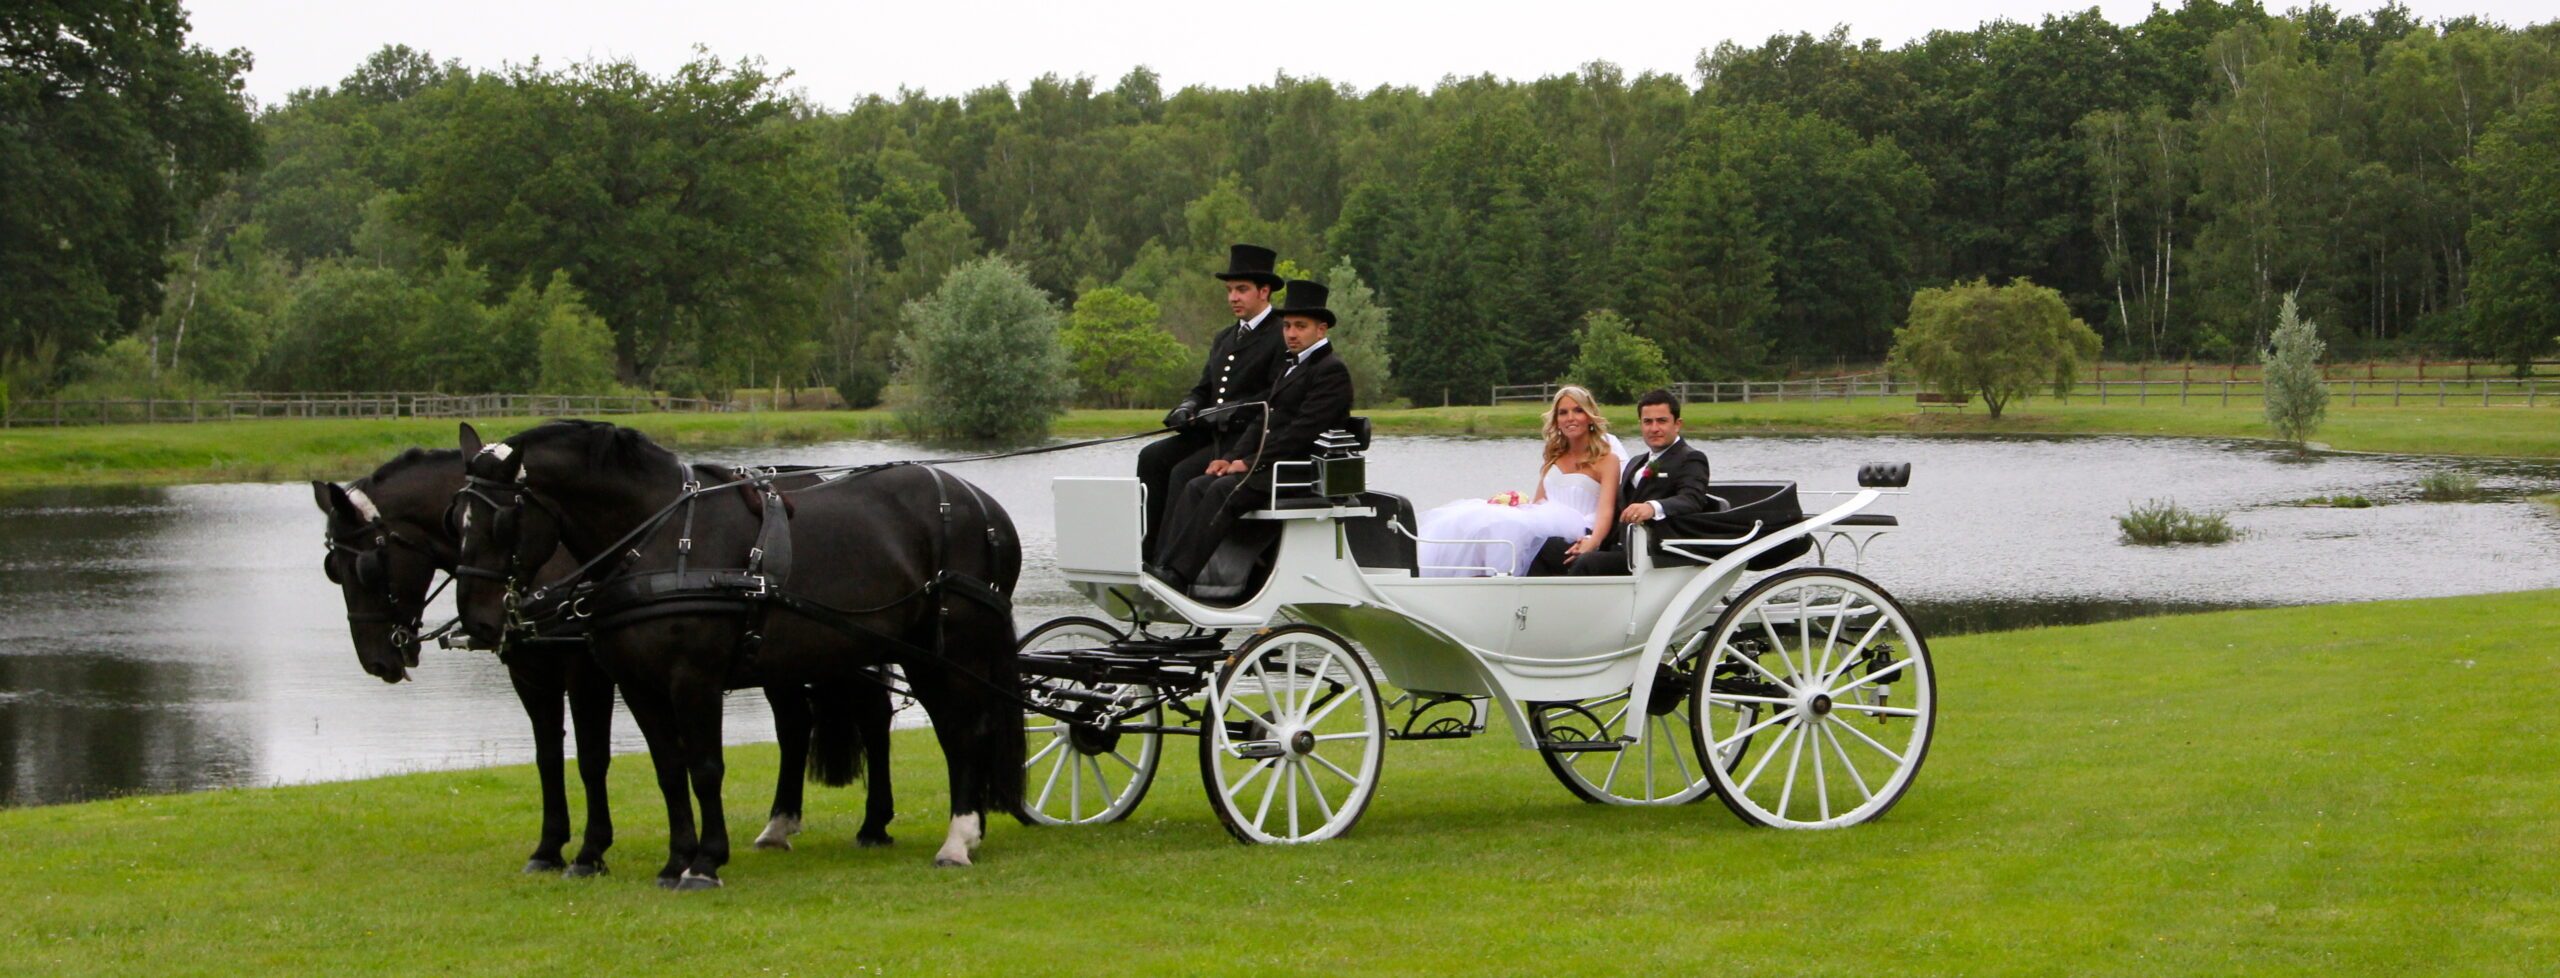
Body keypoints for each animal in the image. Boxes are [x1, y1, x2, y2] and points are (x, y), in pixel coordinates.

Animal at [316, 448, 906, 875]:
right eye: (332, 570)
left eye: (367, 566)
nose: (377, 659)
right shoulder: (531, 677)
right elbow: (548, 760)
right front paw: (549, 847)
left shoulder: (588, 675)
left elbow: (592, 759)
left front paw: (590, 851)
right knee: (795, 724)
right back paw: (781, 823)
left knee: (872, 717)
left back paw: (873, 823)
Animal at [455, 419, 1024, 885]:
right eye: (454, 518)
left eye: (501, 522)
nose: (479, 621)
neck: (663, 537)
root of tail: (984, 505)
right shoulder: (639, 685)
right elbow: (669, 769)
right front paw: (675, 860)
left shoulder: (693, 678)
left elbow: (705, 767)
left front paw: (704, 862)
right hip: (910, 651)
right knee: (938, 730)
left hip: (950, 649)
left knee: (964, 731)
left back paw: (957, 840)